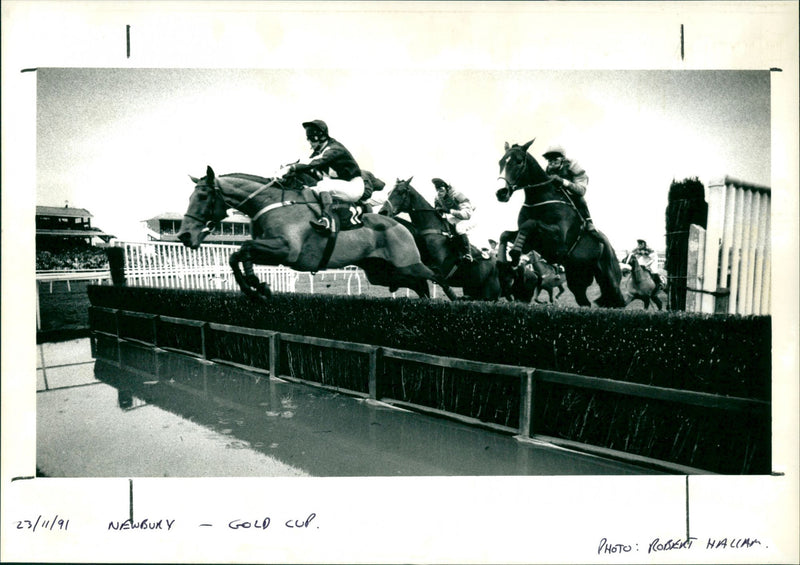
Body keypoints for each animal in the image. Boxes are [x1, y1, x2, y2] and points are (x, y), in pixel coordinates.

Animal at [179, 166, 460, 302]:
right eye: (190, 197)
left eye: (202, 197)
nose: (184, 235)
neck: (272, 203)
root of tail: (401, 225)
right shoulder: (271, 250)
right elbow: (236, 256)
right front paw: (254, 288)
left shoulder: (286, 250)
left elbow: (244, 249)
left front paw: (259, 286)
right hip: (382, 272)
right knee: (419, 285)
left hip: (406, 263)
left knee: (435, 276)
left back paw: (454, 301)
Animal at [494, 141, 624, 308]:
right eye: (501, 162)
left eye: (519, 161)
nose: (501, 192)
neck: (540, 199)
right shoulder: (531, 242)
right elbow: (505, 234)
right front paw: (502, 262)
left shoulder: (557, 239)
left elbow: (530, 224)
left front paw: (515, 254)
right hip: (577, 276)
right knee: (584, 301)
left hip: (609, 278)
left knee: (617, 298)